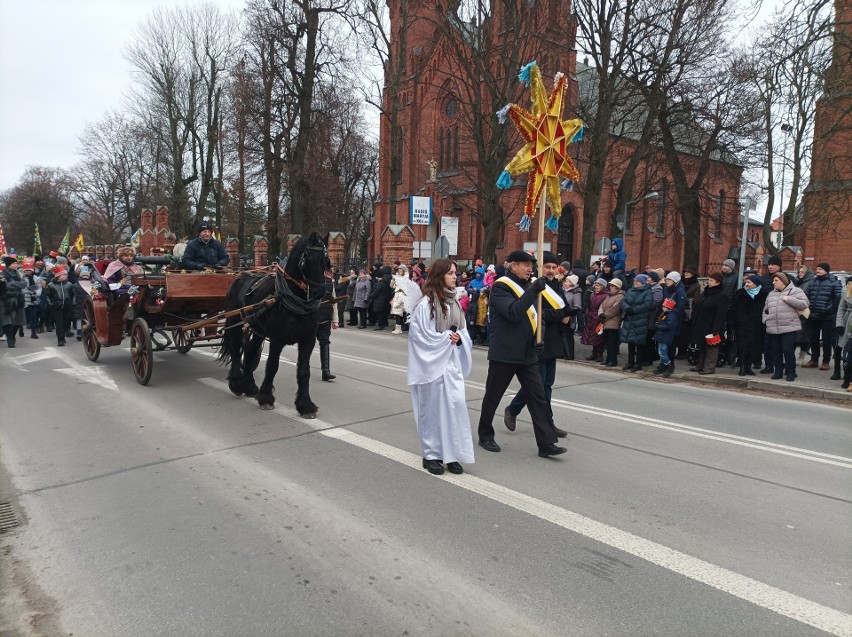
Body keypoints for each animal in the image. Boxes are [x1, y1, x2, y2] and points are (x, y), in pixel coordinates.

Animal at [216, 231, 330, 414]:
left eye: (326, 260)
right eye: (308, 258)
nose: (319, 291)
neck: (294, 300)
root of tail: (240, 274)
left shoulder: (308, 340)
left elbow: (304, 370)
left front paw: (305, 405)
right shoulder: (277, 339)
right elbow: (272, 365)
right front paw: (266, 398)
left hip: (257, 328)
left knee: (250, 351)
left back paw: (249, 385)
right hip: (235, 321)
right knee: (235, 349)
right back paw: (236, 384)